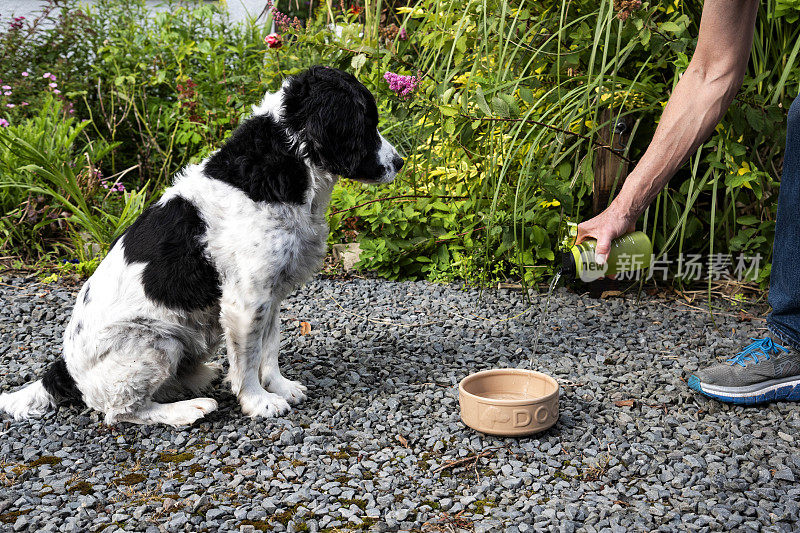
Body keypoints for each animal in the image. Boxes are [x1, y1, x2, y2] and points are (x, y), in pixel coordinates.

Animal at [0, 65, 404, 424]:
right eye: (366, 123)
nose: (400, 162)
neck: (280, 162)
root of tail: (64, 372)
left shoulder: (271, 292)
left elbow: (269, 348)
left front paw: (279, 386)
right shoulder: (246, 300)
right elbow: (248, 359)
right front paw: (258, 401)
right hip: (156, 341)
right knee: (121, 412)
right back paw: (187, 410)